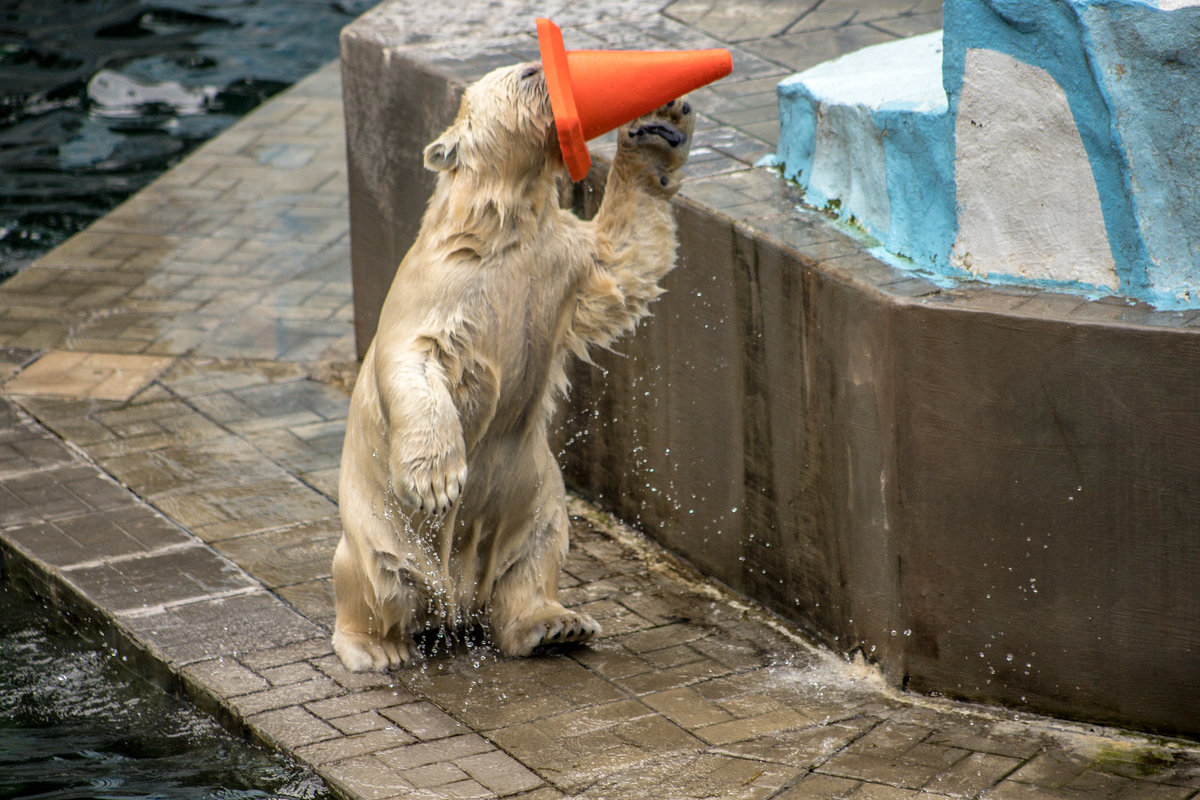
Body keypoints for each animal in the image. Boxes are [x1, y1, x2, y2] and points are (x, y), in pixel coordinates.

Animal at [333, 57, 700, 671]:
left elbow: (625, 257)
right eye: (528, 71)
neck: (500, 230)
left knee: (532, 556)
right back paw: (378, 649)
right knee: (376, 578)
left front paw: (658, 127)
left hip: (535, 495)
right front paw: (437, 480)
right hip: (375, 526)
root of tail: (454, 604)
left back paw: (554, 625)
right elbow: (411, 358)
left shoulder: (563, 258)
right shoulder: (438, 287)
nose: (548, 70)